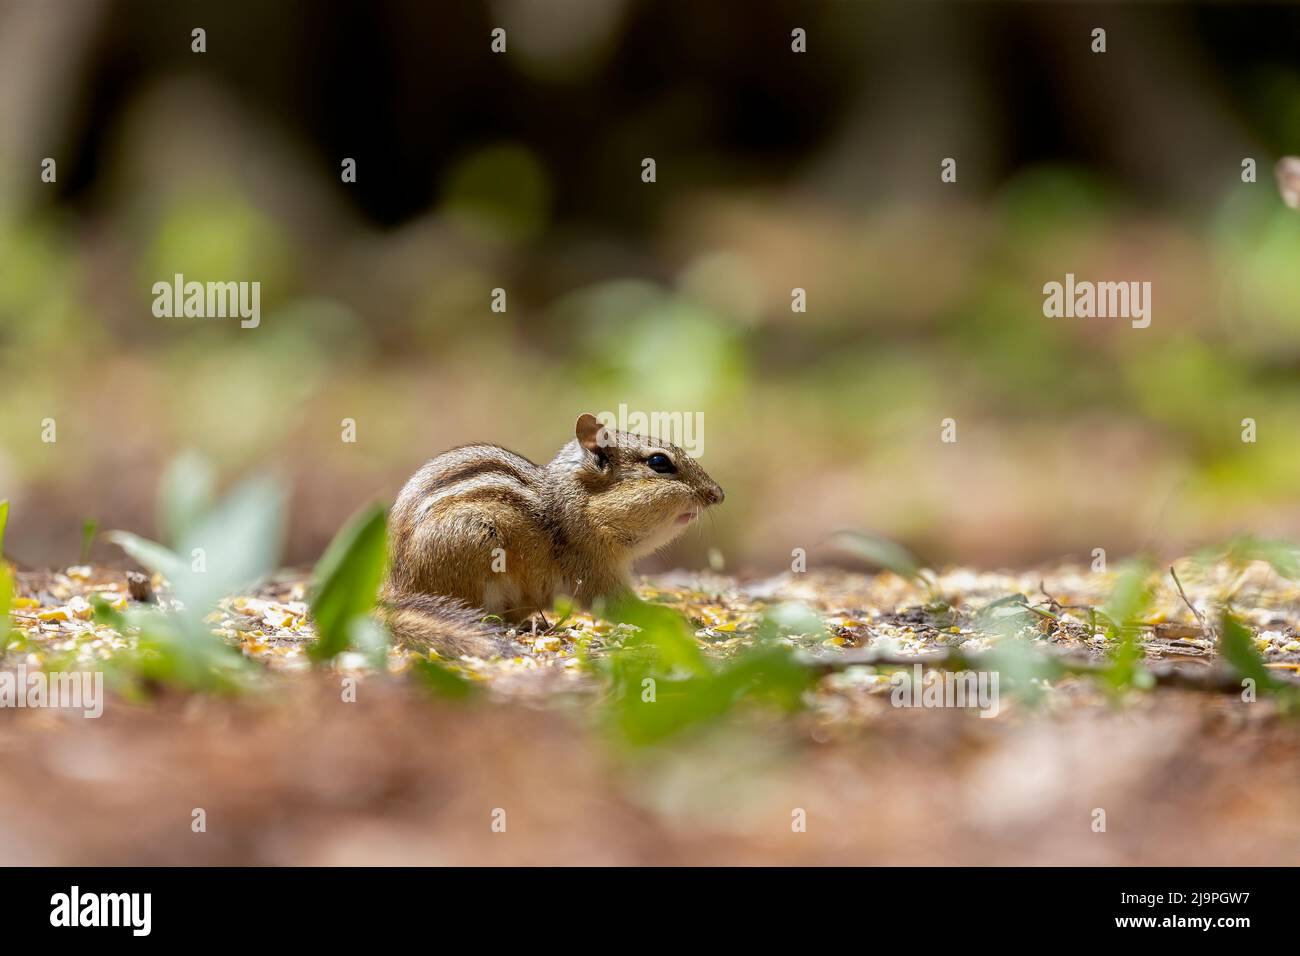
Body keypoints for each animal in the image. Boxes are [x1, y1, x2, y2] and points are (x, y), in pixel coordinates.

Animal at [384, 413, 724, 658]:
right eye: (659, 462)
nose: (718, 494)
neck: (573, 508)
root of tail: (395, 586)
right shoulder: (594, 571)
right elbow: (620, 605)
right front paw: (671, 616)